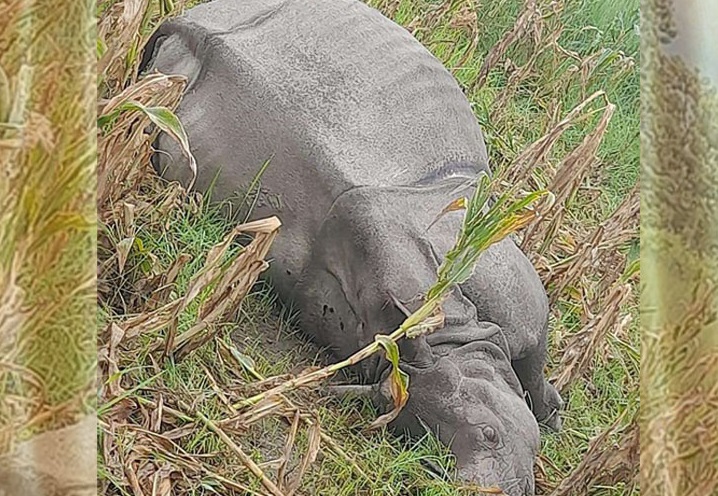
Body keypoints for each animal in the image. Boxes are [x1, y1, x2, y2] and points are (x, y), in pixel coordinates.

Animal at [143, 1, 564, 494]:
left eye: (490, 433)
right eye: (429, 457)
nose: (475, 485)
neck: (450, 333)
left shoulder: (520, 306)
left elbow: (533, 363)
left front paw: (552, 413)